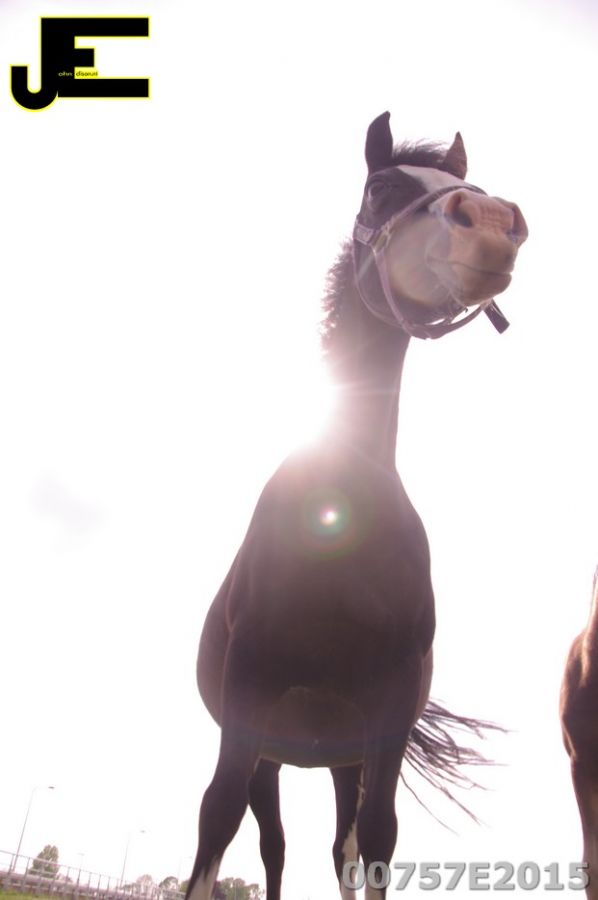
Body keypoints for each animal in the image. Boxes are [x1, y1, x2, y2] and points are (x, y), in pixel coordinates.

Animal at [185, 111, 528, 900]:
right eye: (381, 188)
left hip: (344, 759)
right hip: (272, 754)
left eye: (471, 184)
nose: (494, 224)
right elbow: (215, 822)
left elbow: (376, 839)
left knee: (338, 845)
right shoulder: (249, 689)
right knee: (271, 845)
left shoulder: (388, 709)